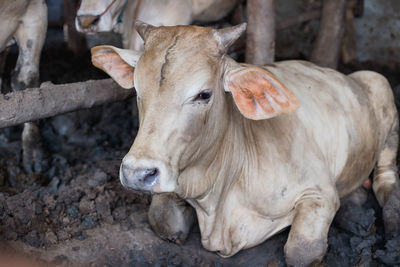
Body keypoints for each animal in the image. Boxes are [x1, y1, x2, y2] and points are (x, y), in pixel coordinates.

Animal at [90, 22, 400, 266]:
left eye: (204, 94)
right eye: (137, 90)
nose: (137, 173)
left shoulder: (318, 192)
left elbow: (301, 252)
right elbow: (164, 220)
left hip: (381, 88)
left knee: (385, 173)